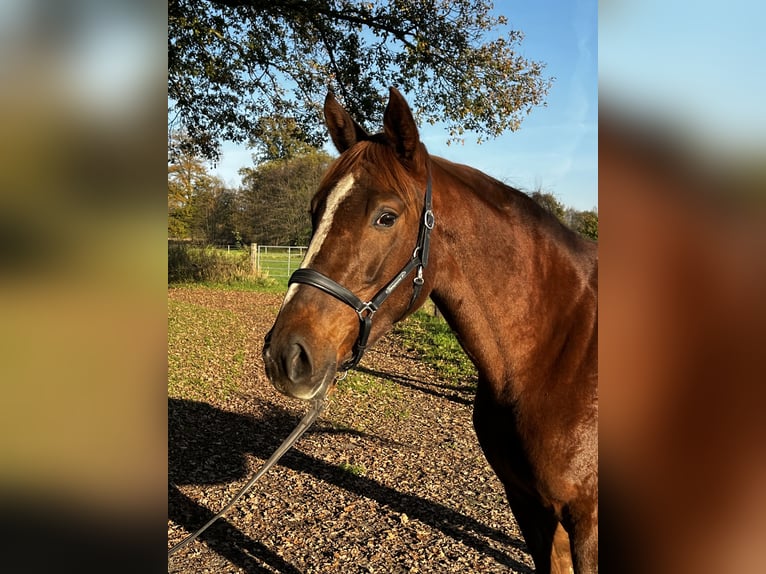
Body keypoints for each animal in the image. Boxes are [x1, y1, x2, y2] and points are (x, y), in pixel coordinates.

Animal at [264, 88, 600, 572]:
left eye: (386, 217)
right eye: (315, 212)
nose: (286, 355)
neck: (553, 353)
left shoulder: (587, 523)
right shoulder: (530, 506)